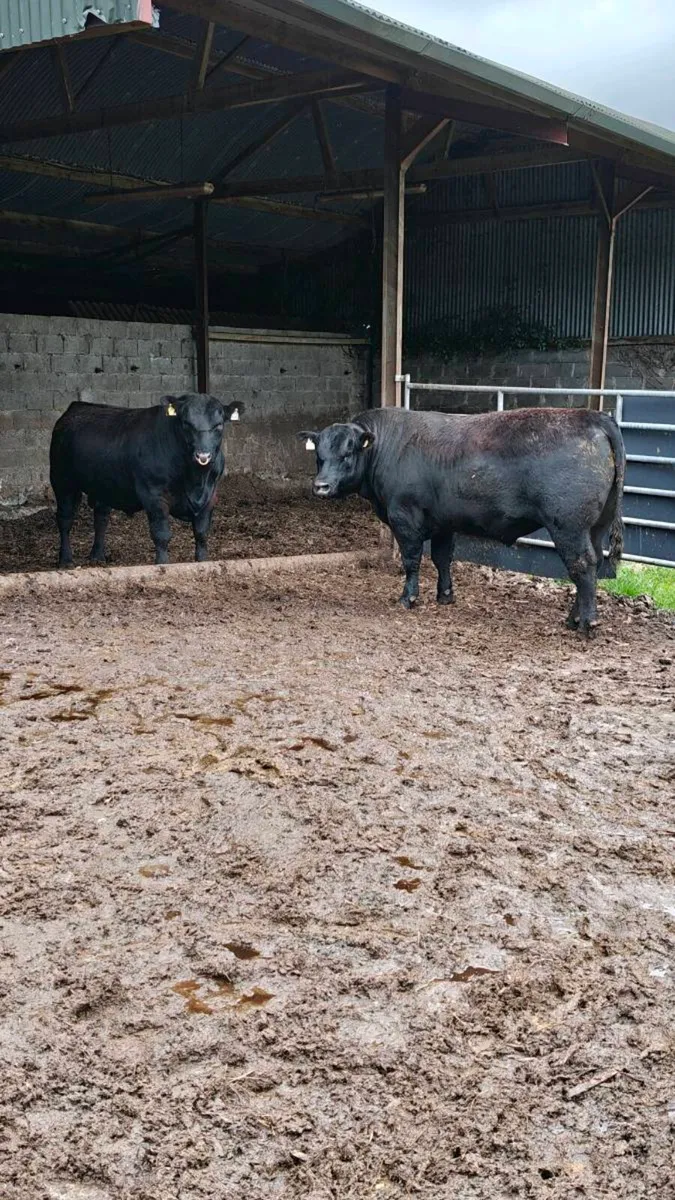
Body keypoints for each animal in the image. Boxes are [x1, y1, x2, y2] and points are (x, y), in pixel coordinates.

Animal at [50, 393, 242, 568]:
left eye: (218, 425)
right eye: (186, 424)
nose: (203, 455)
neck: (195, 480)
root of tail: (77, 406)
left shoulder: (211, 495)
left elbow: (201, 533)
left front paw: (202, 562)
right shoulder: (153, 495)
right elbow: (161, 534)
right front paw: (162, 564)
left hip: (102, 486)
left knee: (101, 518)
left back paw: (97, 556)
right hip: (62, 481)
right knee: (65, 519)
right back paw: (66, 560)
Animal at [299, 406, 626, 635]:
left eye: (348, 452)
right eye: (319, 455)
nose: (321, 486)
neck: (388, 447)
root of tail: (593, 416)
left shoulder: (404, 518)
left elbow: (412, 560)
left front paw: (408, 598)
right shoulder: (444, 523)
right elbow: (442, 558)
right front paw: (445, 595)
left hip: (569, 526)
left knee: (582, 566)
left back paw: (585, 623)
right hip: (595, 526)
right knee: (593, 564)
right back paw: (574, 618)